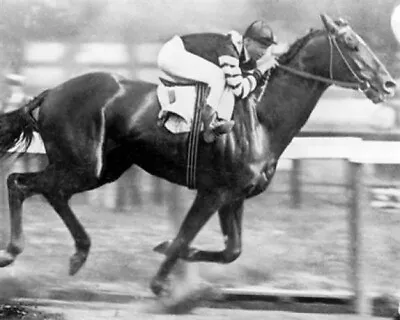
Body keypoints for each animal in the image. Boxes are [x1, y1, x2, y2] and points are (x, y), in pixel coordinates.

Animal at [0, 13, 396, 296]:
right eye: (352, 45)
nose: (388, 83)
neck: (260, 119)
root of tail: (50, 92)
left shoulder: (235, 196)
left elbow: (230, 250)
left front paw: (169, 253)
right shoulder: (213, 191)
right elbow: (185, 236)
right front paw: (163, 283)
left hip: (100, 169)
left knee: (51, 192)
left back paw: (79, 252)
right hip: (83, 164)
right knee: (20, 182)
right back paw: (13, 250)